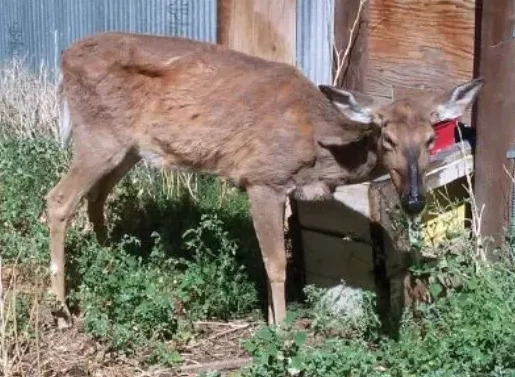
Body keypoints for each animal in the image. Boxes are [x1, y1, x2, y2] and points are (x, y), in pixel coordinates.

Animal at [46, 31, 486, 326]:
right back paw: (64, 310)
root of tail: (63, 58)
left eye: (430, 139)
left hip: (128, 148)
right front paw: (282, 330)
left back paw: (110, 261)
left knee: (95, 197)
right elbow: (276, 263)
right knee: (58, 200)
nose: (413, 200)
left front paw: (275, 320)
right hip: (98, 136)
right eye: (387, 138)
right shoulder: (262, 179)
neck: (317, 146)